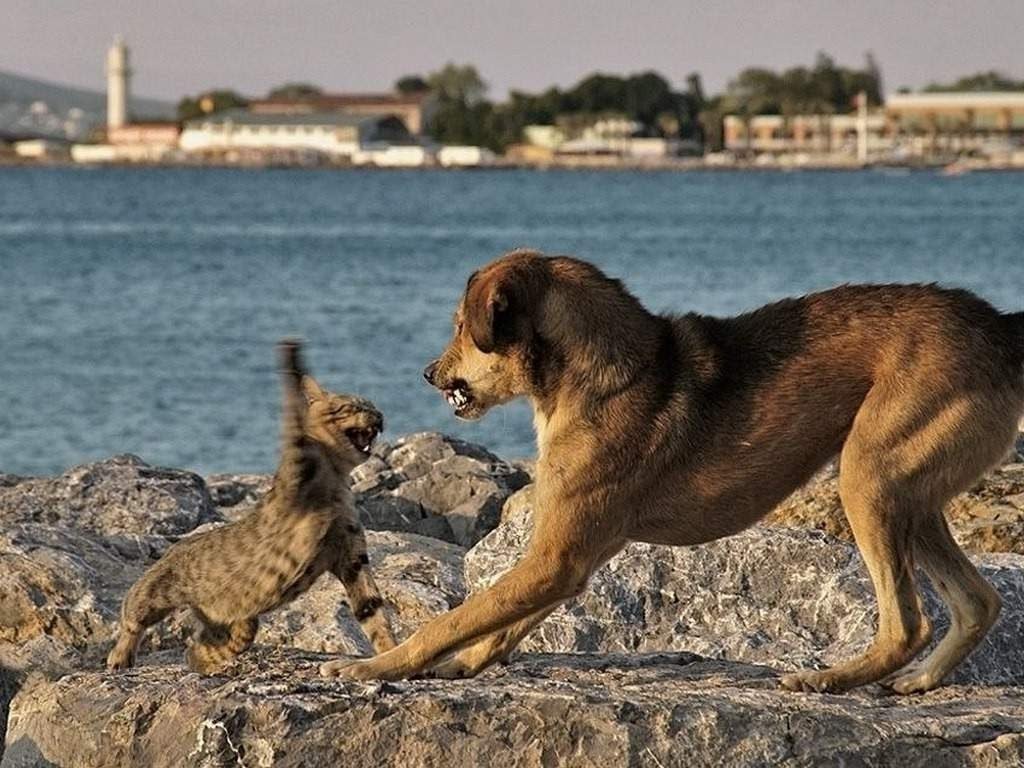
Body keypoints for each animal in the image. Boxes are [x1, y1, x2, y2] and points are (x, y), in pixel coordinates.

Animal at [321, 249, 1024, 696]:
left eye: (463, 328)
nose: (427, 374)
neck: (600, 377)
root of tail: (999, 328)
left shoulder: (555, 558)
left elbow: (453, 618)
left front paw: (376, 668)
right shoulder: (570, 560)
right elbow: (501, 624)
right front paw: (462, 666)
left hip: (867, 479)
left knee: (909, 622)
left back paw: (830, 678)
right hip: (912, 497)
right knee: (978, 602)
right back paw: (921, 681)